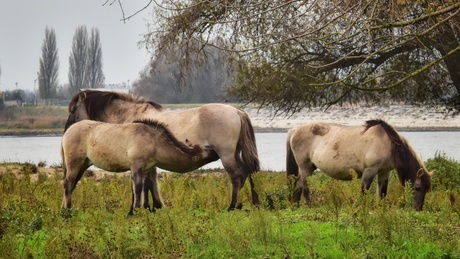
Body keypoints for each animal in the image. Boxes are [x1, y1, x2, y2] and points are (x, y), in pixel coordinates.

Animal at [61, 120, 217, 215]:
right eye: (207, 149)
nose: (216, 151)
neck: (153, 141)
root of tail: (66, 132)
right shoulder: (136, 165)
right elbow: (137, 187)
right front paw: (134, 211)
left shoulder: (146, 167)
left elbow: (146, 186)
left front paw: (147, 208)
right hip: (74, 164)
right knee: (68, 184)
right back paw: (67, 211)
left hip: (83, 165)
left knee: (71, 185)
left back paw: (64, 208)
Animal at [286, 120, 434, 211]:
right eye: (417, 187)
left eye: (427, 189)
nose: (419, 208)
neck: (388, 144)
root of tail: (294, 130)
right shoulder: (370, 170)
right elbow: (364, 191)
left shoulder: (384, 172)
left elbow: (382, 193)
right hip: (305, 168)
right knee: (304, 187)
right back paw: (310, 205)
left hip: (309, 168)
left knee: (298, 186)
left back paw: (295, 206)